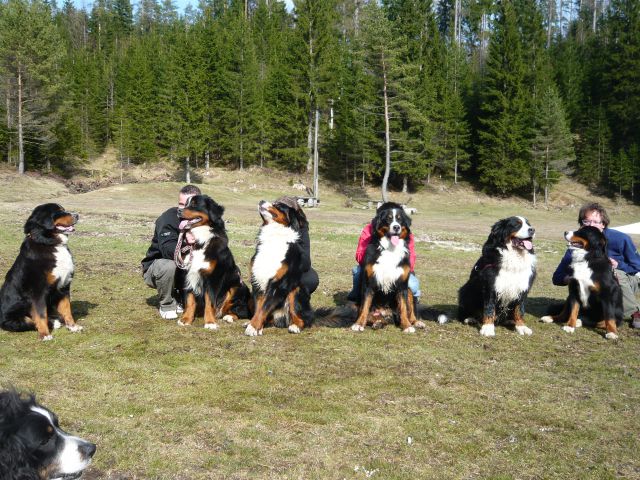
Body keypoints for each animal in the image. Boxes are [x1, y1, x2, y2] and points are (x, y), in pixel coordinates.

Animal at [0, 202, 82, 342]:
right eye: (58, 212)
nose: (77, 215)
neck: (50, 244)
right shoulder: (38, 291)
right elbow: (41, 314)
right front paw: (45, 334)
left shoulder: (64, 286)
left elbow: (67, 310)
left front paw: (73, 326)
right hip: (14, 318)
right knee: (30, 321)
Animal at [175, 195, 250, 330]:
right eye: (185, 204)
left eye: (194, 204)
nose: (179, 211)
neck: (199, 243)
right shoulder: (188, 274)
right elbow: (190, 300)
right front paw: (186, 319)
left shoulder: (213, 278)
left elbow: (210, 301)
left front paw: (210, 322)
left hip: (236, 287)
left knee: (240, 311)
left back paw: (229, 316)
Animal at [245, 197, 312, 336]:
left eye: (278, 205)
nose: (261, 200)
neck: (274, 236)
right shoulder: (257, 280)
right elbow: (259, 307)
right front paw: (256, 326)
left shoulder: (278, 283)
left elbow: (264, 306)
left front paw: (253, 327)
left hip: (295, 290)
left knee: (303, 318)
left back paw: (295, 326)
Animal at [350, 202, 424, 334]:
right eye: (388, 219)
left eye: (400, 219)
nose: (396, 227)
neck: (390, 249)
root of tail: (386, 313)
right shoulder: (369, 283)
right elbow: (364, 307)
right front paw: (358, 324)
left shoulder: (402, 285)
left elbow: (404, 308)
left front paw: (407, 326)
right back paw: (377, 322)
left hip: (409, 290)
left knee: (410, 311)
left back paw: (416, 322)